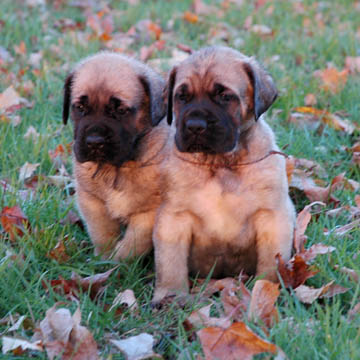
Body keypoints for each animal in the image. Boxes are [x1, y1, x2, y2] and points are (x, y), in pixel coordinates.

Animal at [62, 51, 169, 258]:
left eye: (120, 111)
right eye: (80, 108)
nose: (94, 142)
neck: (117, 169)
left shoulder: (150, 211)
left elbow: (134, 243)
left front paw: (117, 261)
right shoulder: (92, 201)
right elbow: (102, 233)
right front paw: (104, 258)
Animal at [152, 46, 296, 302]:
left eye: (225, 96)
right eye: (182, 97)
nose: (195, 126)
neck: (221, 163)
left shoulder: (273, 215)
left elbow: (272, 259)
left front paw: (267, 290)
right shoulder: (173, 218)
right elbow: (170, 262)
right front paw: (170, 294)